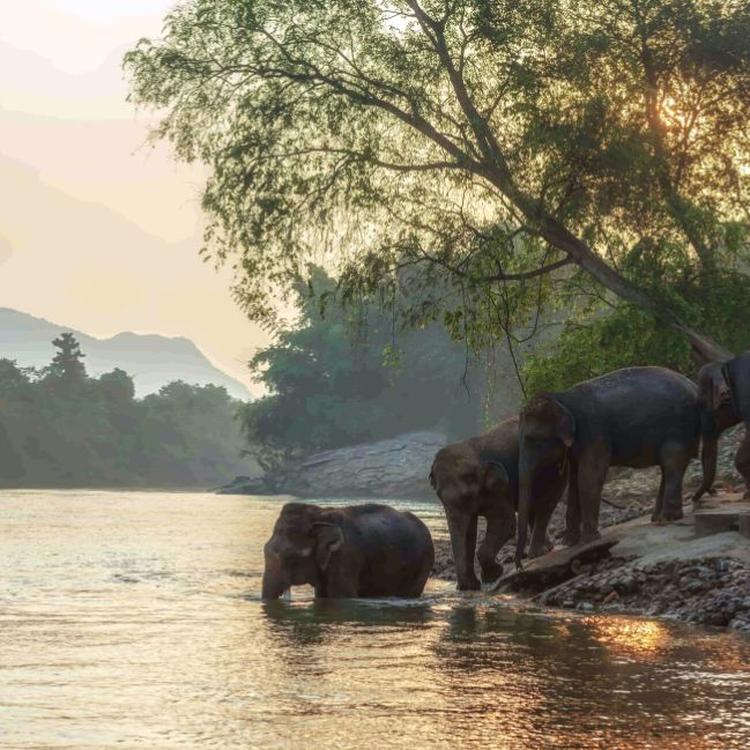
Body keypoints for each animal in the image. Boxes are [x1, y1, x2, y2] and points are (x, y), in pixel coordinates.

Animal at [432, 418, 568, 592]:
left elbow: (505, 524)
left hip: (556, 467)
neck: (473, 449)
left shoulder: (499, 490)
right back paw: (547, 549)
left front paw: (493, 575)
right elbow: (469, 532)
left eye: (466, 496)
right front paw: (472, 586)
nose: (461, 588)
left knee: (546, 502)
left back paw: (538, 553)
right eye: (439, 496)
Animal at [516, 366, 704, 568]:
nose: (520, 565)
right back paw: (657, 518)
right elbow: (574, 482)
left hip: (678, 426)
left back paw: (669, 518)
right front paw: (569, 543)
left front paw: (589, 540)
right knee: (667, 466)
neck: (563, 398)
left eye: (533, 440)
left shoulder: (594, 433)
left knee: (672, 462)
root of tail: (694, 387)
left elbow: (589, 477)